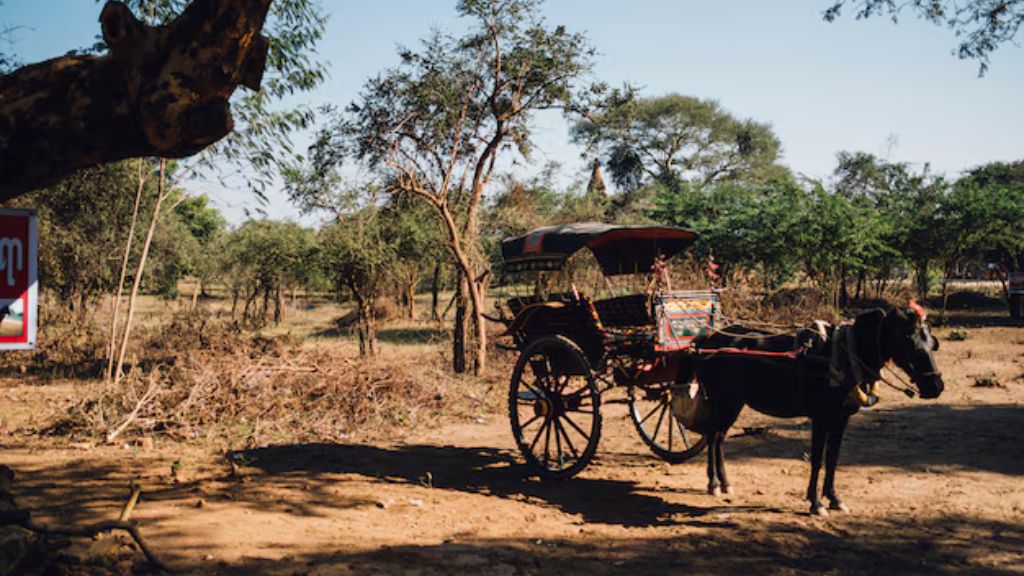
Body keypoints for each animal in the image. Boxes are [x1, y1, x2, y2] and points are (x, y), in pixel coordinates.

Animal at [688, 303, 942, 512]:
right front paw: (816, 502)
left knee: (719, 437)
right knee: (712, 435)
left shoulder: (842, 418)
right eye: (907, 339)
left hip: (733, 403)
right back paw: (713, 483)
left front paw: (834, 498)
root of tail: (710, 340)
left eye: (931, 342)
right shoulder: (821, 418)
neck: (844, 356)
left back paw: (725, 483)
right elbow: (818, 459)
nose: (936, 386)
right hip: (722, 401)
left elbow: (832, 459)